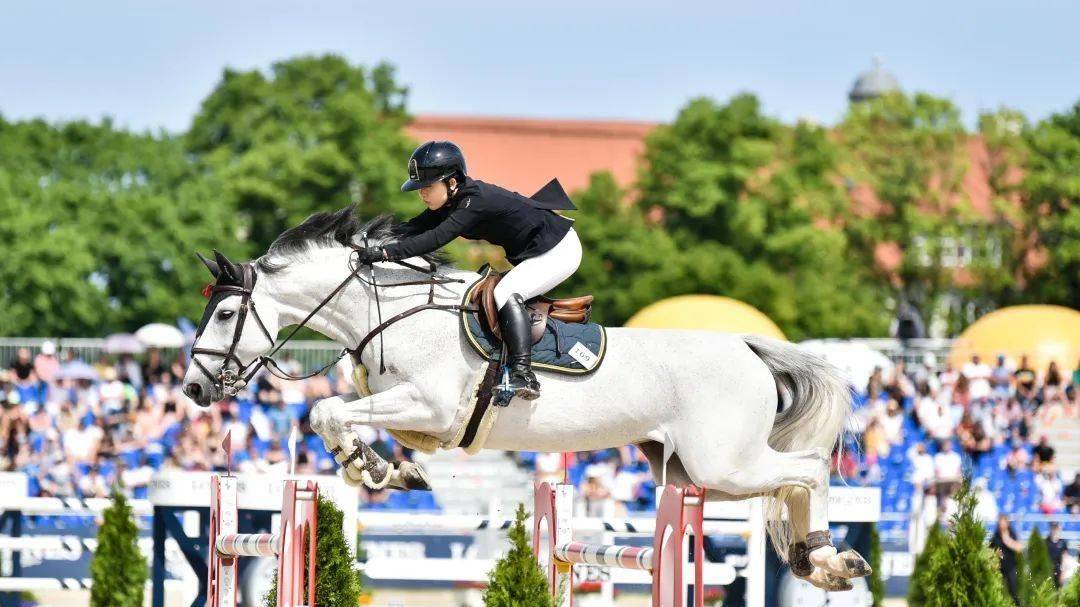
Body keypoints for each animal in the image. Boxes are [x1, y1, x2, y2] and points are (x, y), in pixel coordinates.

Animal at [183, 206, 868, 587]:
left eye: (225, 315)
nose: (193, 387)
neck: (392, 314)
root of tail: (749, 348)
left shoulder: (432, 406)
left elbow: (326, 410)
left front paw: (365, 468)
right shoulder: (416, 417)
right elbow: (339, 418)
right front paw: (385, 470)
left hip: (721, 462)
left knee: (809, 470)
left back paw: (828, 559)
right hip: (697, 472)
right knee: (791, 481)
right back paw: (819, 564)